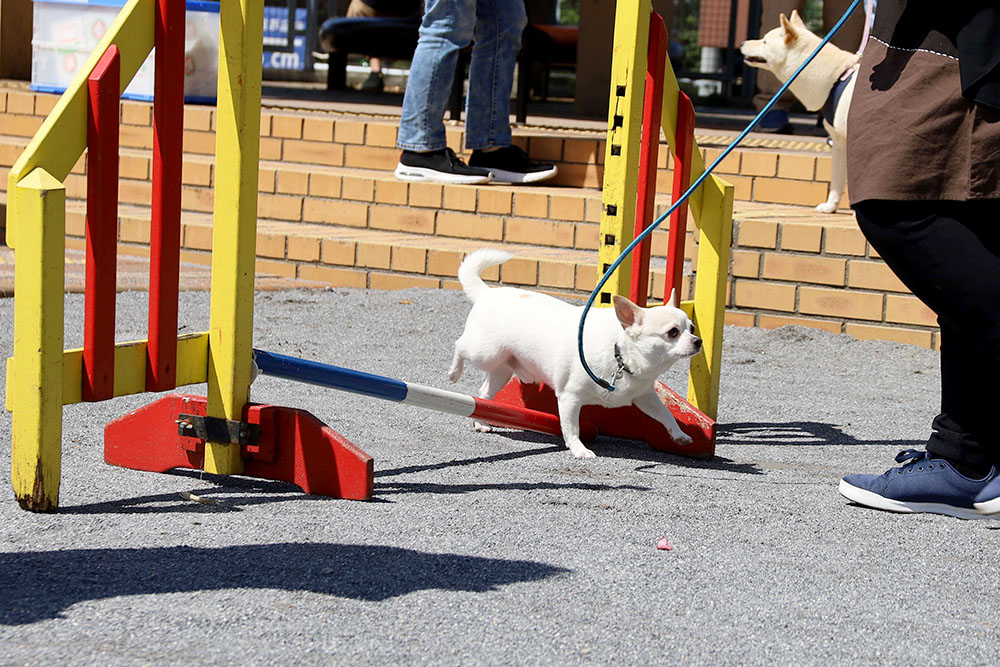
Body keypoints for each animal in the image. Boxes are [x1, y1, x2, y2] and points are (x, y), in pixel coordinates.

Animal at [450, 249, 700, 460]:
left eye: (692, 328)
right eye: (673, 332)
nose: (698, 341)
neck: (619, 354)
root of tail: (487, 294)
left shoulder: (645, 397)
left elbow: (665, 413)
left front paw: (678, 434)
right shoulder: (569, 398)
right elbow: (572, 428)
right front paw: (579, 449)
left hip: (502, 369)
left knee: (483, 393)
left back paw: (481, 422)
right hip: (485, 352)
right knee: (459, 345)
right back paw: (454, 372)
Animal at [744, 11, 860, 214]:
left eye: (764, 41)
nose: (742, 43)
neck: (836, 77)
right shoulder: (840, 142)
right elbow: (837, 179)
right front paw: (830, 206)